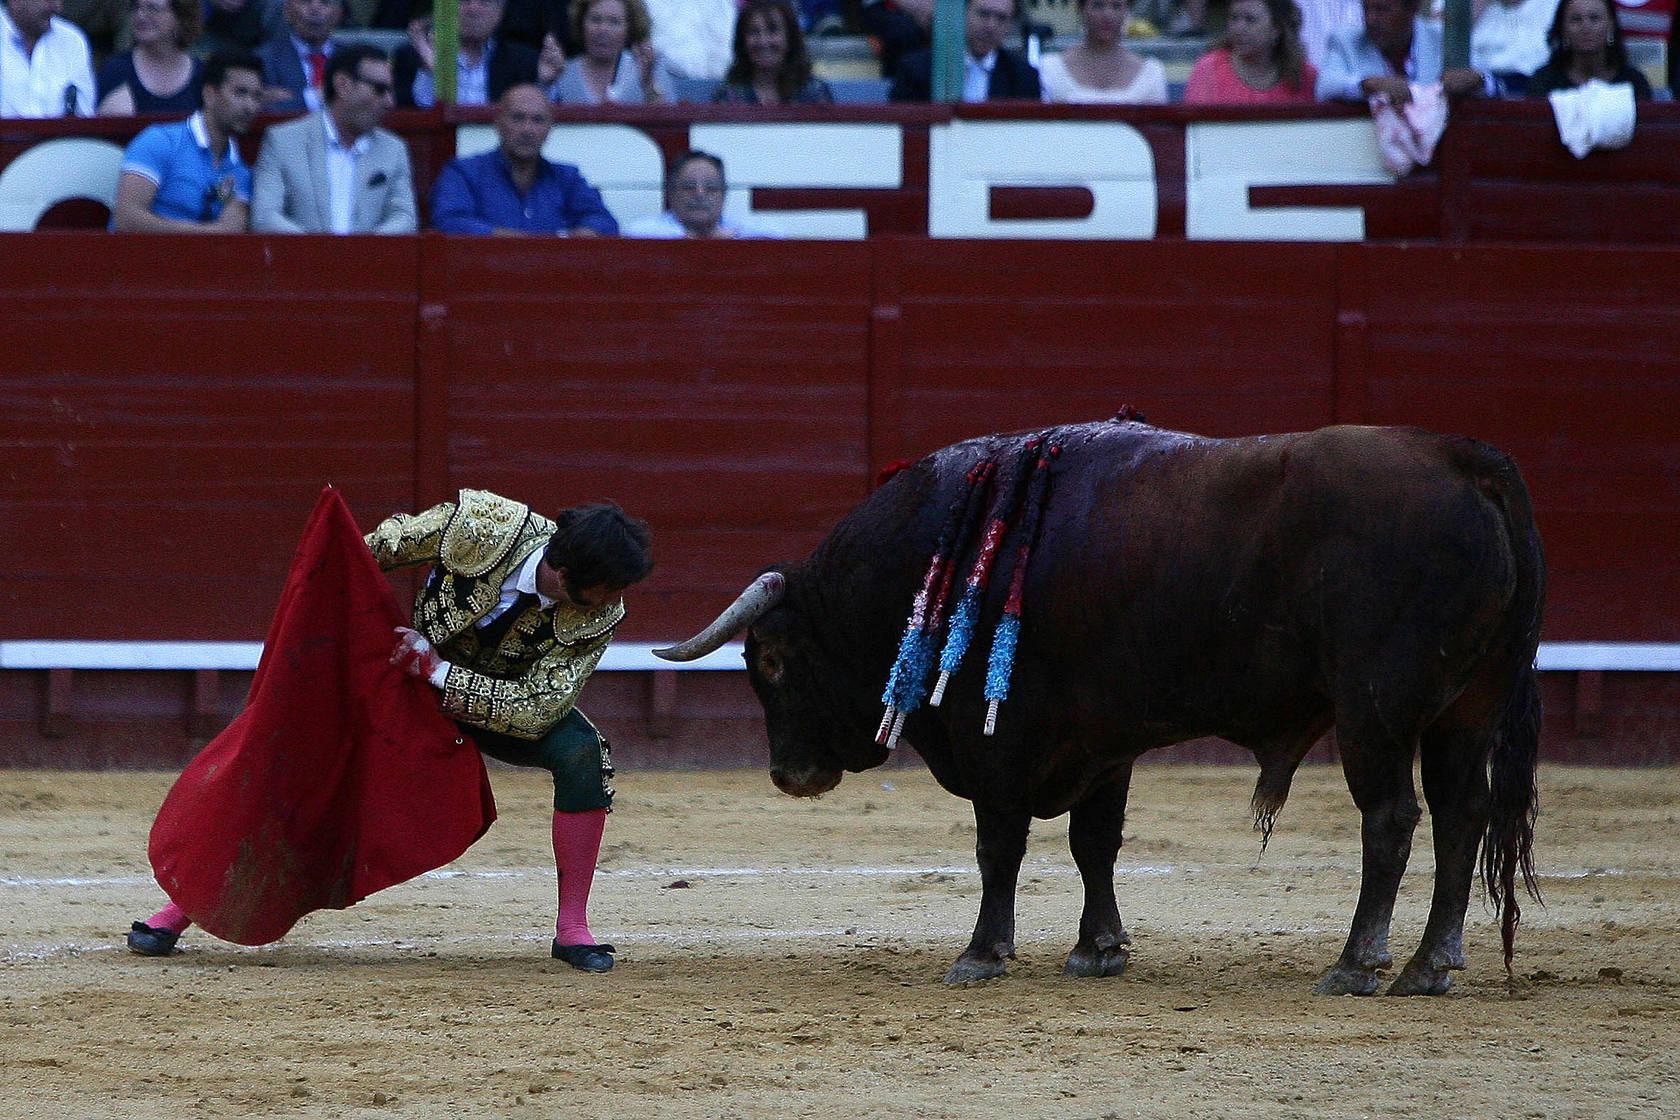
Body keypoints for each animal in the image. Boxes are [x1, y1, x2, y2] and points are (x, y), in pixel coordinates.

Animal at [648, 423, 1538, 1000]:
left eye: (769, 661)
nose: (787, 773)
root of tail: (1470, 462)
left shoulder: (999, 743)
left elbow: (998, 847)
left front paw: (982, 954)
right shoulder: (1106, 743)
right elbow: (1094, 843)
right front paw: (1098, 949)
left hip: (1372, 713)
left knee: (1391, 821)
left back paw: (1358, 964)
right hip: (1467, 711)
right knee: (1462, 815)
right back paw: (1429, 966)